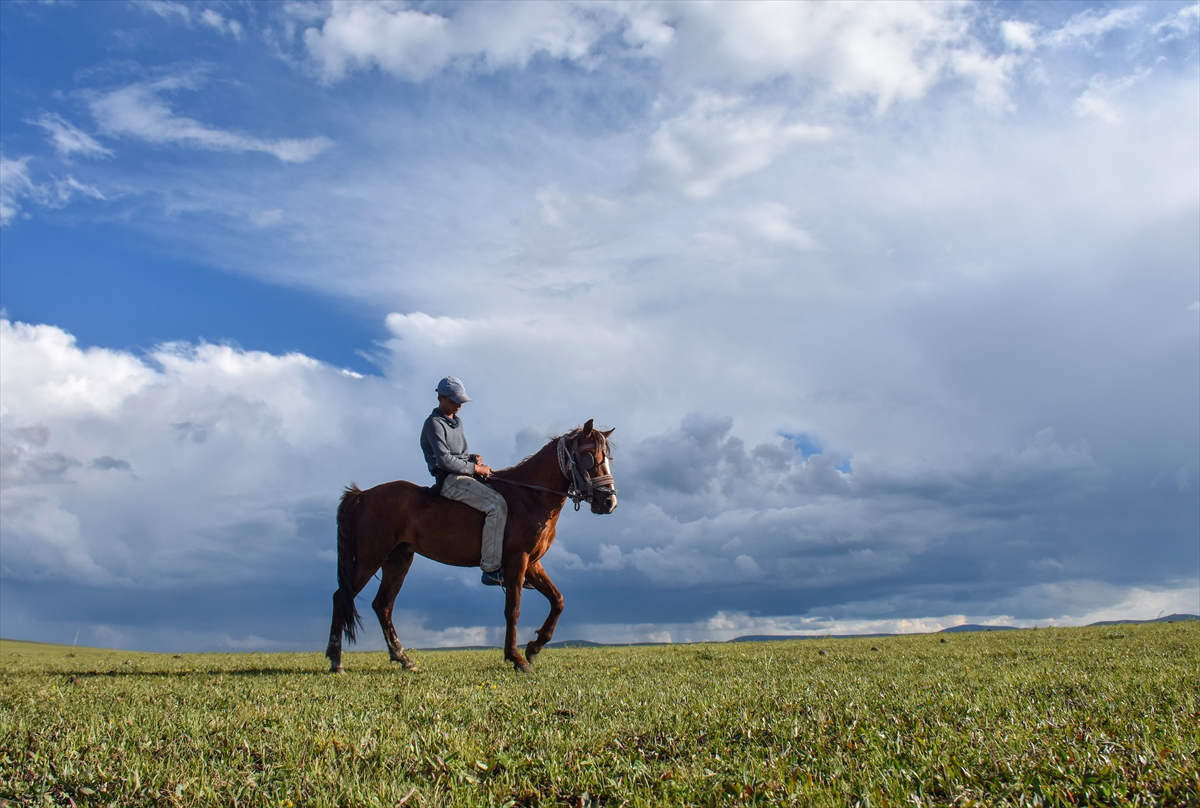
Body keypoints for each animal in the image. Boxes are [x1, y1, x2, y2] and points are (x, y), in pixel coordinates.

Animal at [324, 420, 614, 672]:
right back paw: (336, 660)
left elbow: (558, 601)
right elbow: (513, 608)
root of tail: (363, 495)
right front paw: (516, 657)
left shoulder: (531, 563)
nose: (609, 502)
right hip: (369, 558)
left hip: (397, 560)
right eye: (589, 455)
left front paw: (534, 647)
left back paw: (403, 658)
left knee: (382, 605)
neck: (530, 495)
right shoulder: (517, 561)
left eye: (608, 457)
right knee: (342, 597)